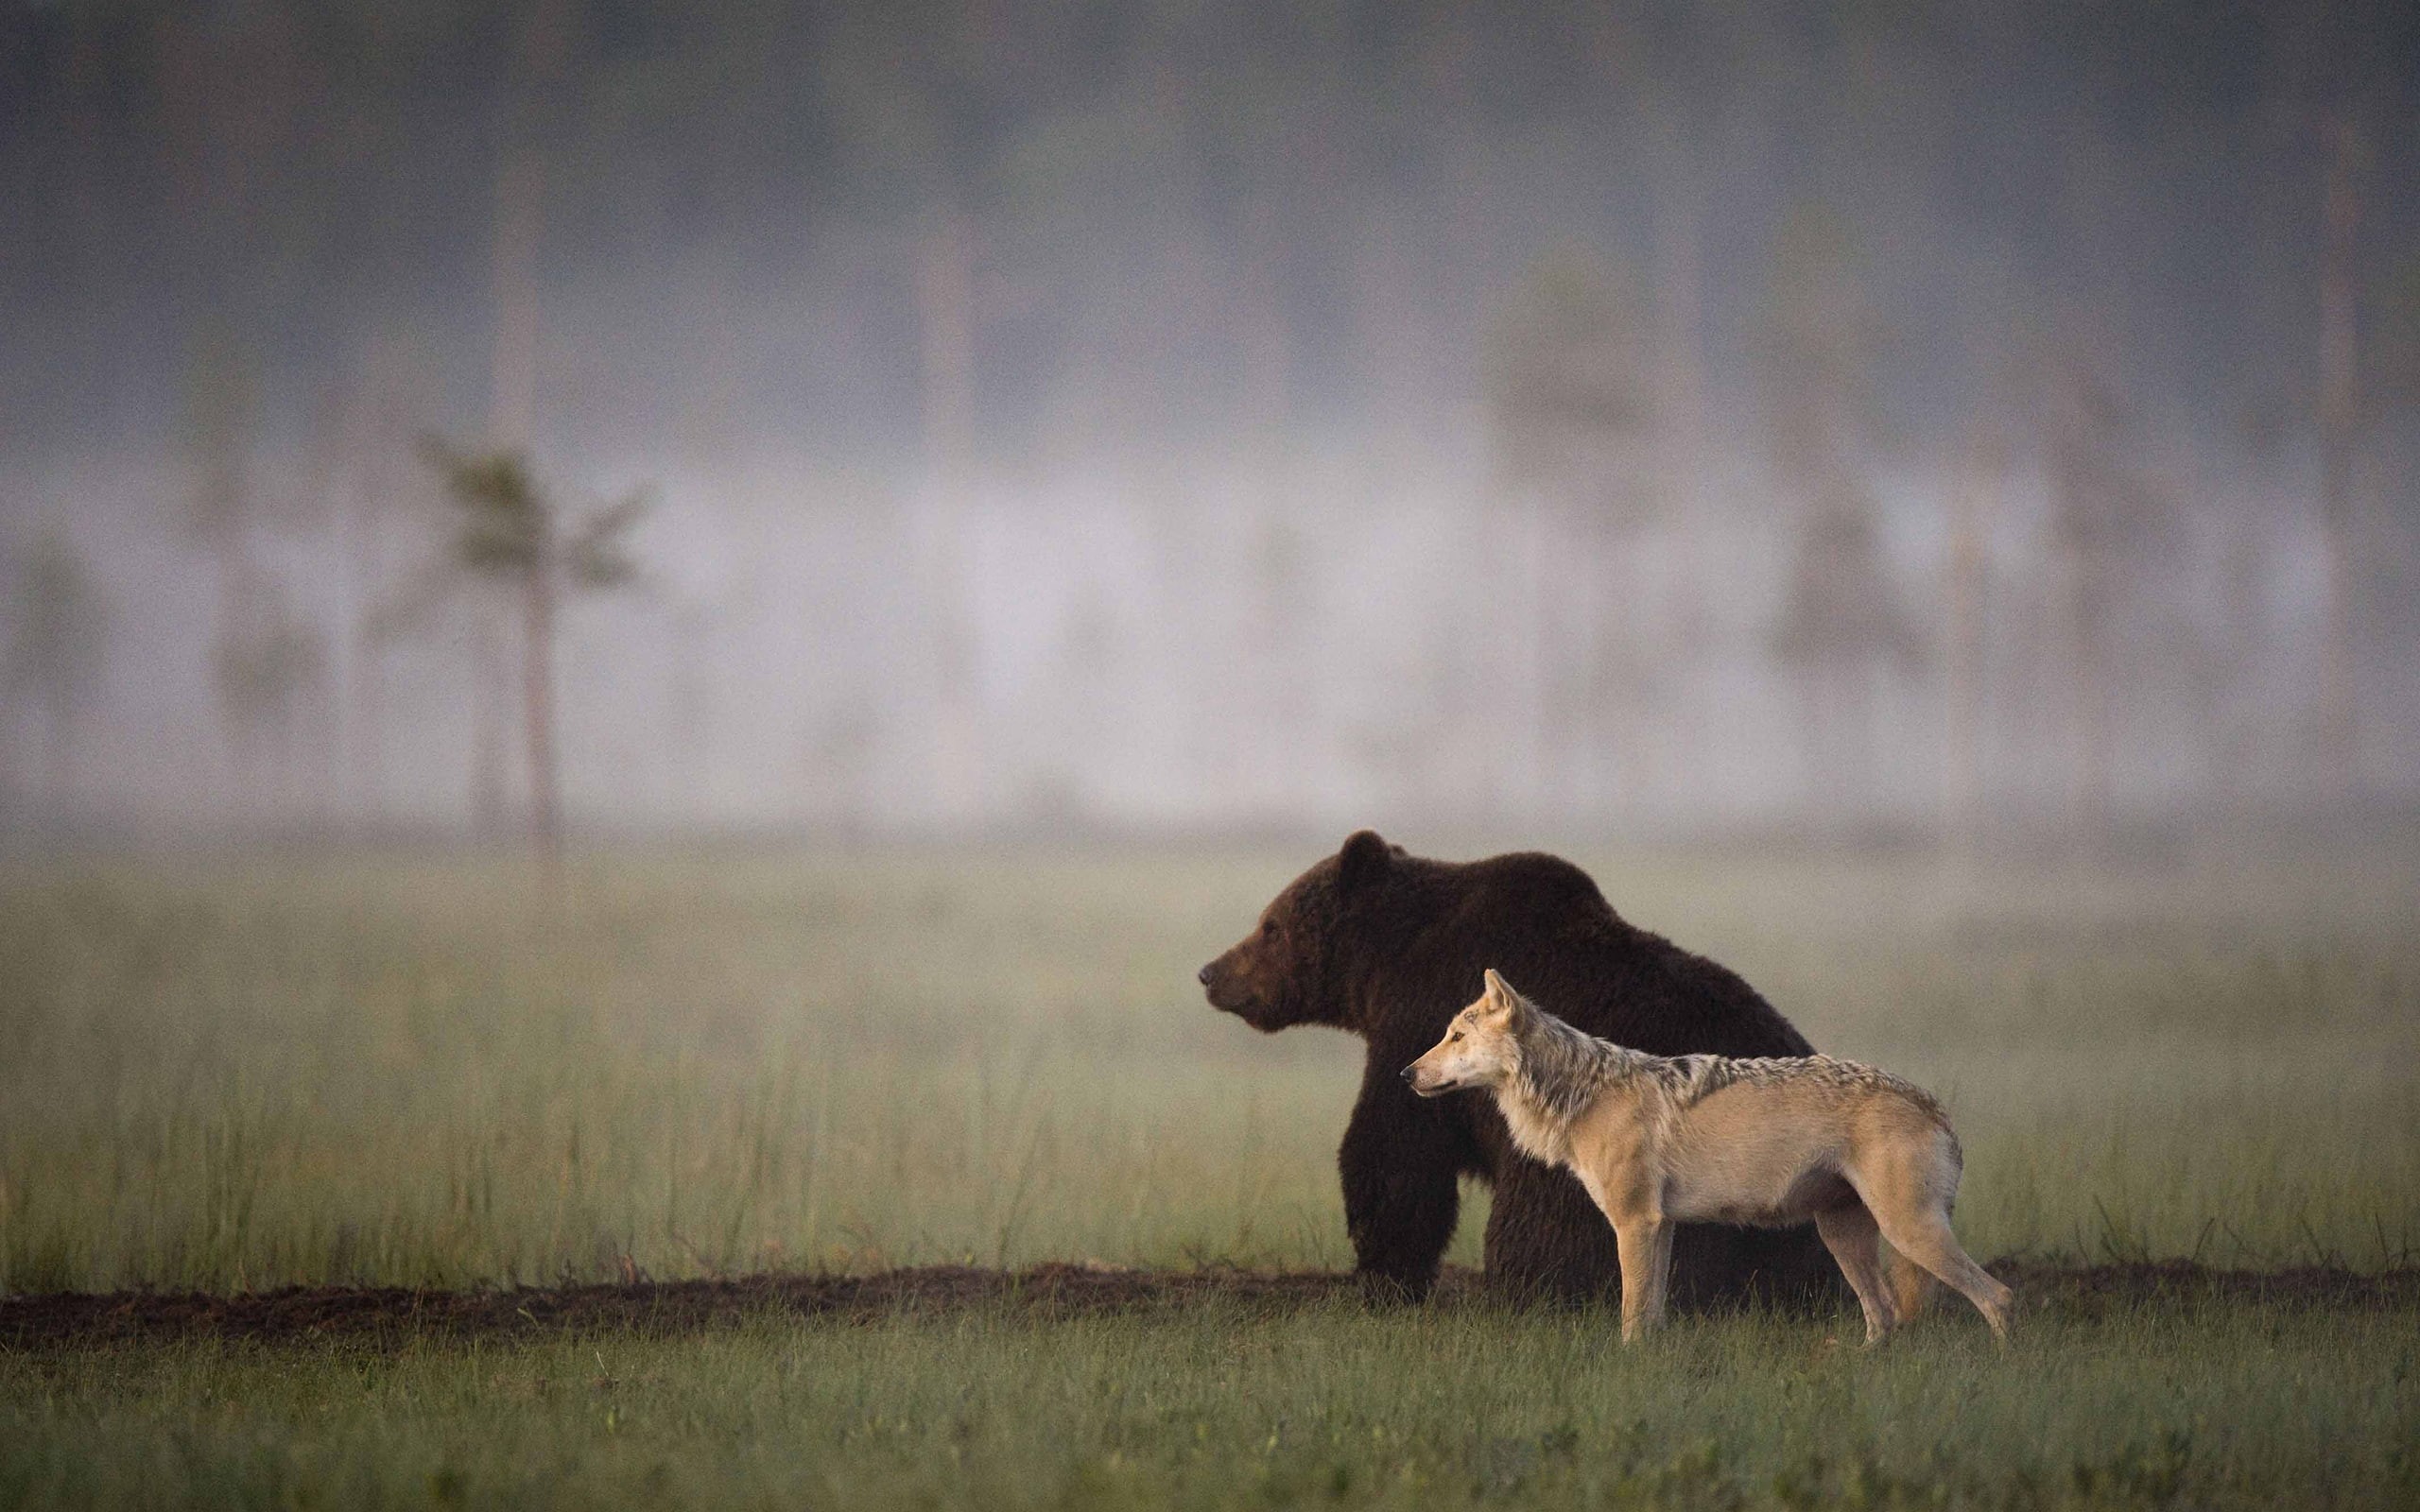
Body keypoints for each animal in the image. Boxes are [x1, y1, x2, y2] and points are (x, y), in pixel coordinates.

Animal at [1197, 829, 1842, 1309]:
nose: (1210, 972)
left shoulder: (1418, 1024)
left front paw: (1385, 1276)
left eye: (1271, 926)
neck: (1387, 964)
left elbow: (1394, 1151)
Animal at [1404, 970, 2013, 1344]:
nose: (1406, 1074)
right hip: (1844, 1237)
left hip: (1908, 1232)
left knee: (1999, 1297)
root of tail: (1934, 1105)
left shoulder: (1636, 1223)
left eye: (1455, 1037)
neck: (1585, 1094)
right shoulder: (1661, 1226)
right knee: (1885, 1316)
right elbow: (1652, 1312)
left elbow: (1632, 1313)